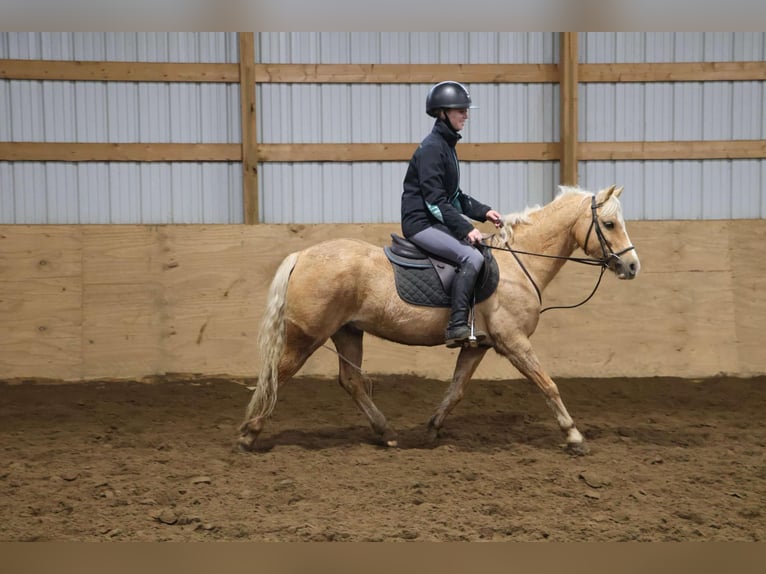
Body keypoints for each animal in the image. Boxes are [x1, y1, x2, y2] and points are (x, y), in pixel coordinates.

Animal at [238, 184, 640, 455]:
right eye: (608, 224)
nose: (633, 266)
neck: (516, 264)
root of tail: (302, 255)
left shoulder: (479, 346)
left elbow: (456, 389)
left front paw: (431, 430)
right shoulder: (514, 342)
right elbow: (547, 384)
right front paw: (574, 436)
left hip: (347, 332)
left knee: (350, 381)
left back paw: (386, 433)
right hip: (308, 336)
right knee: (278, 374)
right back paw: (248, 433)